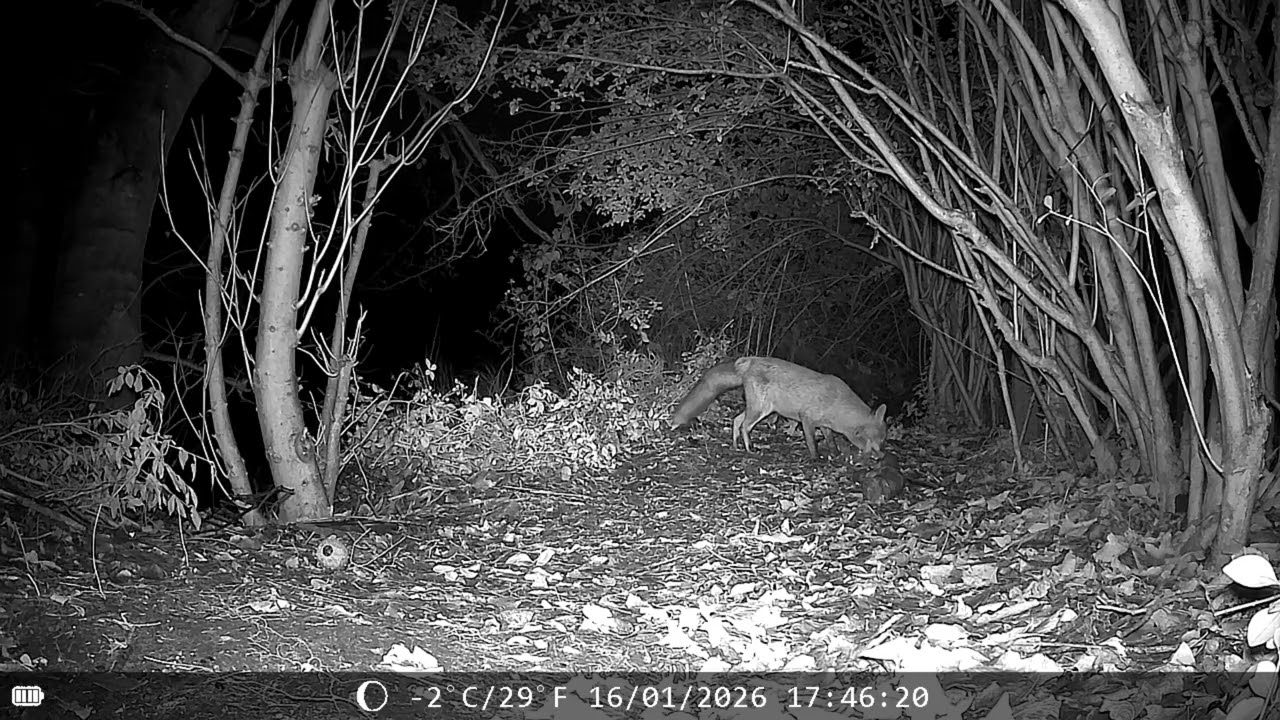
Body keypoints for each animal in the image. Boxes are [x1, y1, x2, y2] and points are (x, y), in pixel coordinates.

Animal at [670, 356, 888, 458]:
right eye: (880, 440)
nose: (882, 455)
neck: (837, 403)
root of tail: (749, 360)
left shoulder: (824, 424)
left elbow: (830, 440)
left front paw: (834, 454)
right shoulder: (806, 418)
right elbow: (812, 443)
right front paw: (816, 459)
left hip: (758, 408)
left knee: (736, 420)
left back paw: (736, 445)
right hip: (761, 410)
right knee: (745, 425)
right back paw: (749, 448)